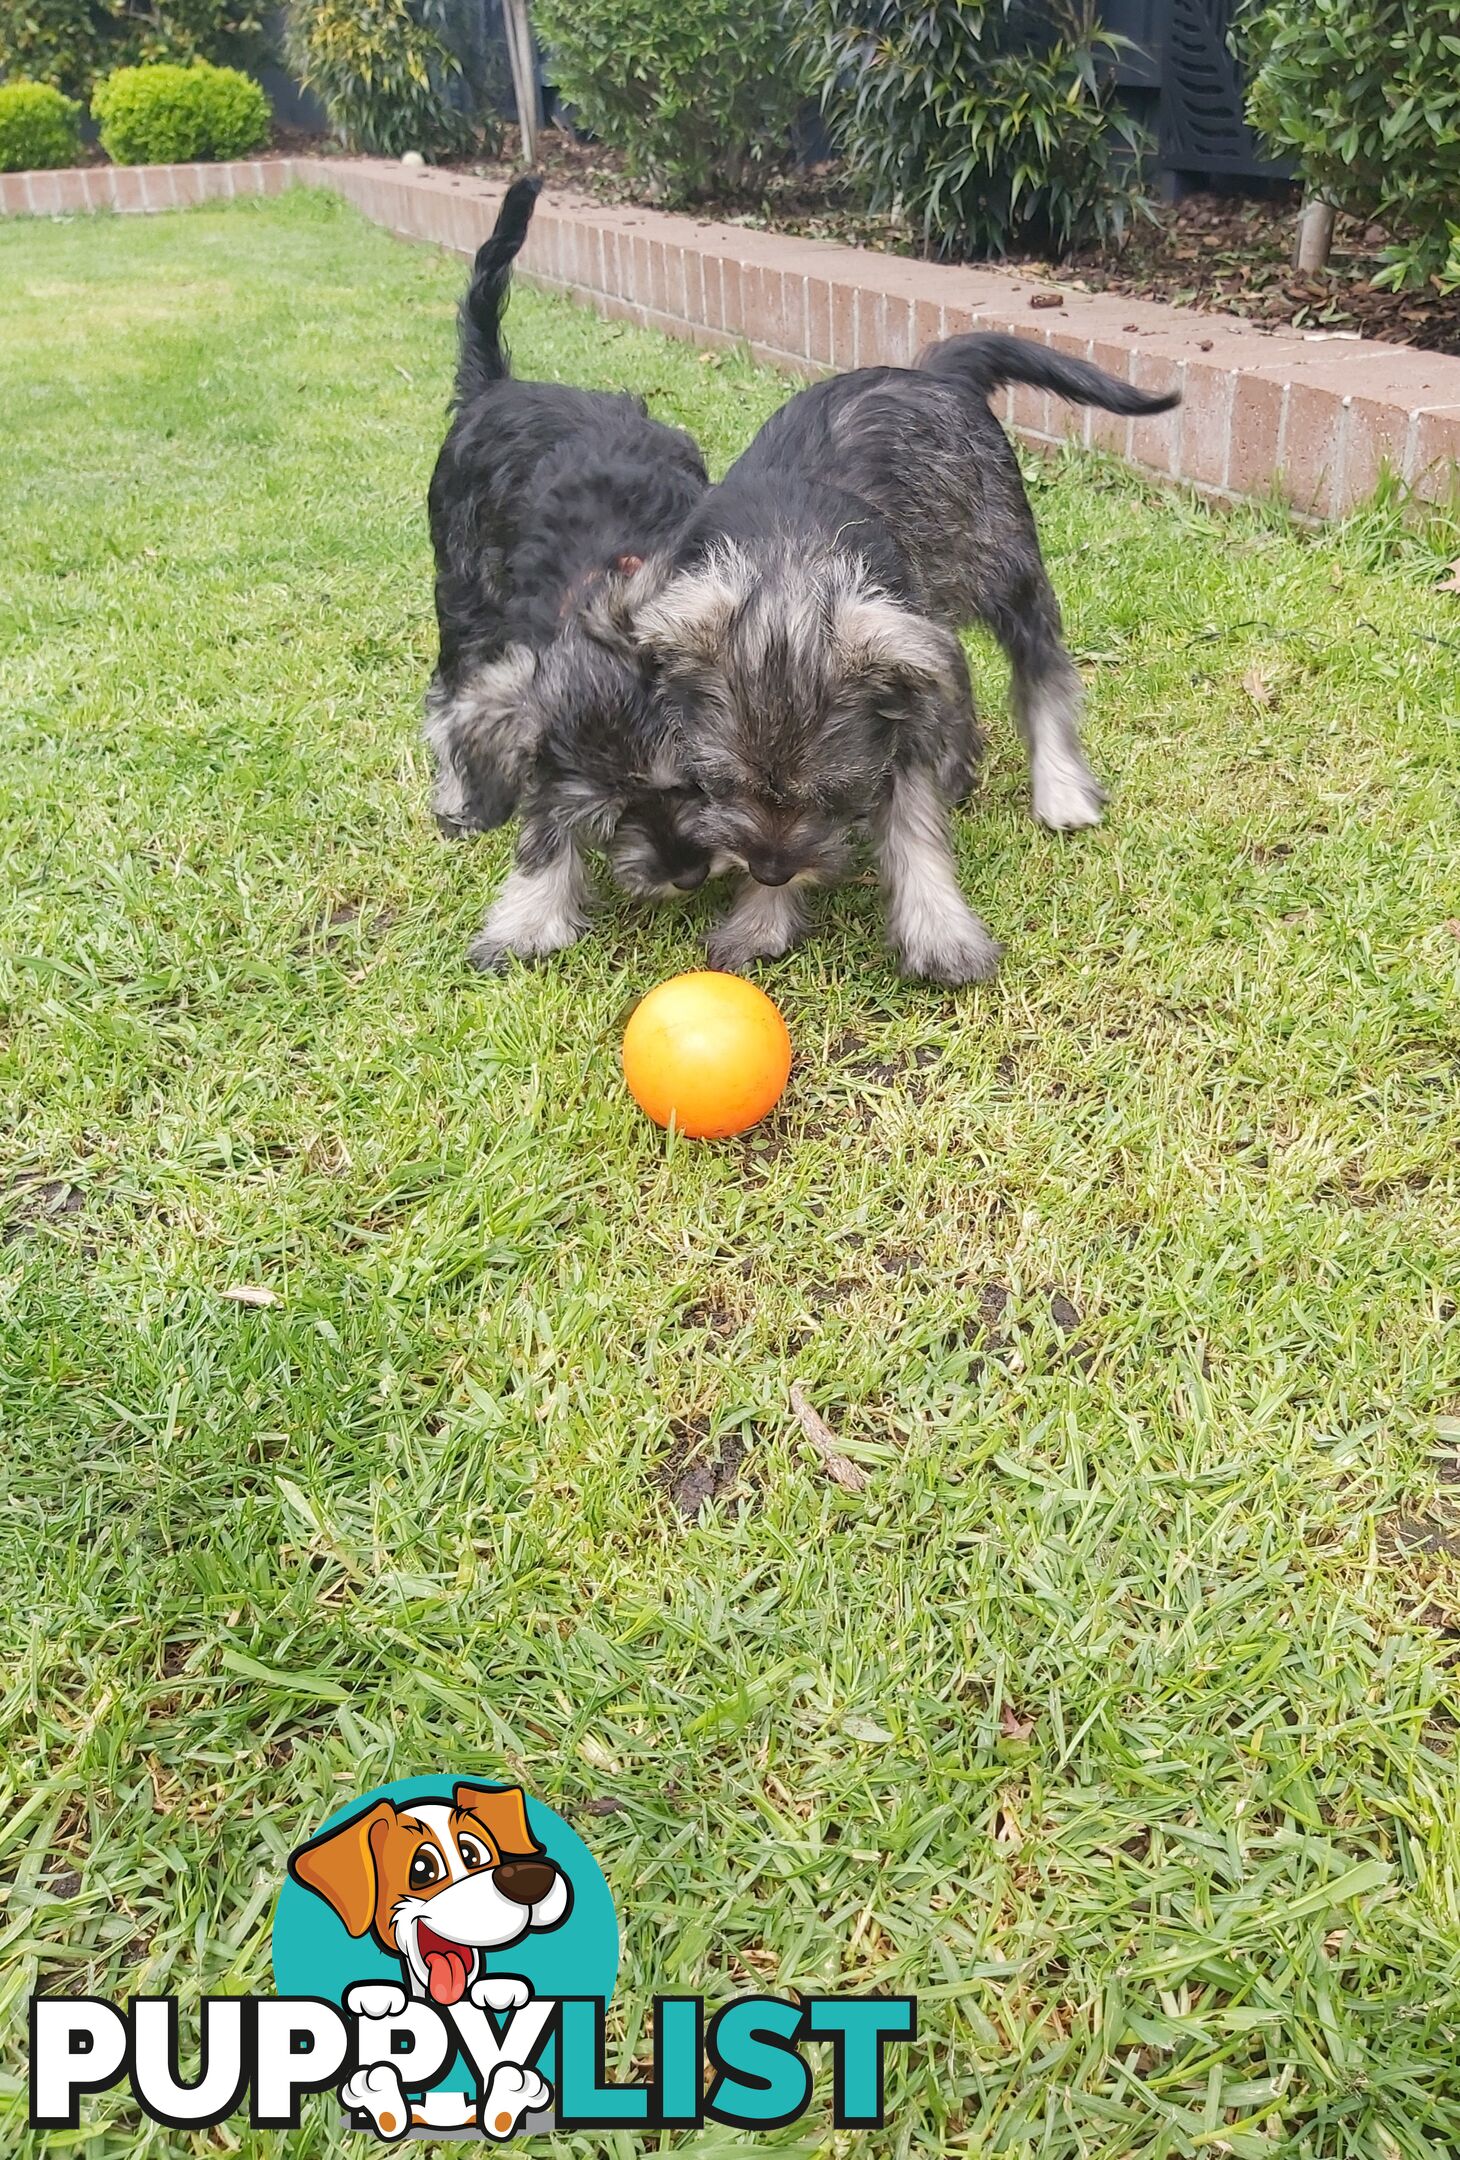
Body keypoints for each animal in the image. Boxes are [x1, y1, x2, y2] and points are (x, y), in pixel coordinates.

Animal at [421, 177, 712, 972]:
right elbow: (540, 817)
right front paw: (528, 920)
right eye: (608, 816)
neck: (602, 577)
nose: (687, 874)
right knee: (446, 695)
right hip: (462, 599)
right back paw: (458, 795)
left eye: (692, 784)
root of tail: (495, 388)